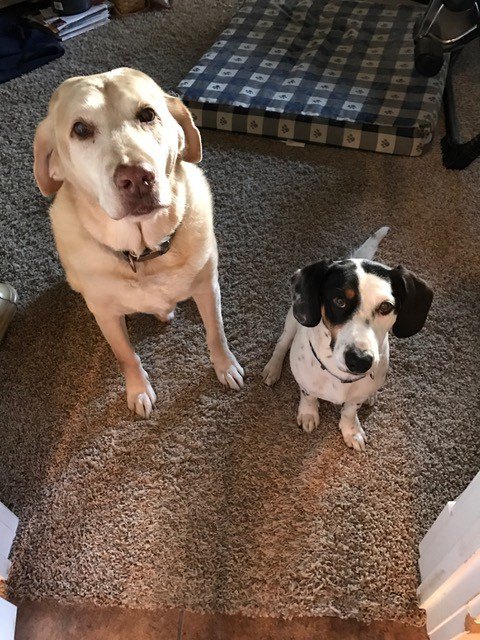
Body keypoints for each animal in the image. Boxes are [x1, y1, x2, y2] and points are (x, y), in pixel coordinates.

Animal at [33, 68, 244, 417]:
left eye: (147, 114)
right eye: (80, 129)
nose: (135, 178)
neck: (145, 253)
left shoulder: (208, 288)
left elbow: (217, 333)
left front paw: (225, 366)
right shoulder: (105, 315)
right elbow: (126, 356)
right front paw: (138, 389)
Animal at [262, 228, 433, 451]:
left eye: (385, 307)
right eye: (339, 301)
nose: (359, 361)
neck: (340, 377)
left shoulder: (357, 396)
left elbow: (350, 410)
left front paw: (351, 430)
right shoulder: (306, 383)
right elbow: (308, 396)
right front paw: (308, 414)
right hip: (292, 320)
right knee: (282, 344)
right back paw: (272, 369)